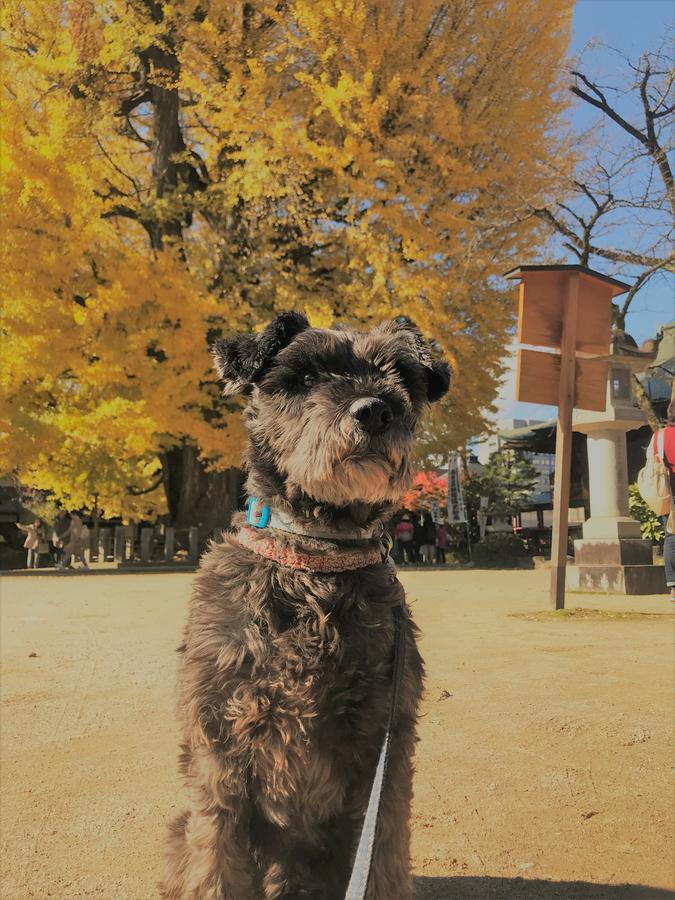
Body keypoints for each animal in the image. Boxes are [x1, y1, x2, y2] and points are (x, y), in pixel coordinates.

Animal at [161, 312, 452, 896]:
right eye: (305, 375)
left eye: (402, 376)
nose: (375, 409)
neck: (315, 561)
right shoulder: (219, 745)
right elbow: (216, 862)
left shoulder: (385, 746)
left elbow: (383, 857)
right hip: (182, 828)